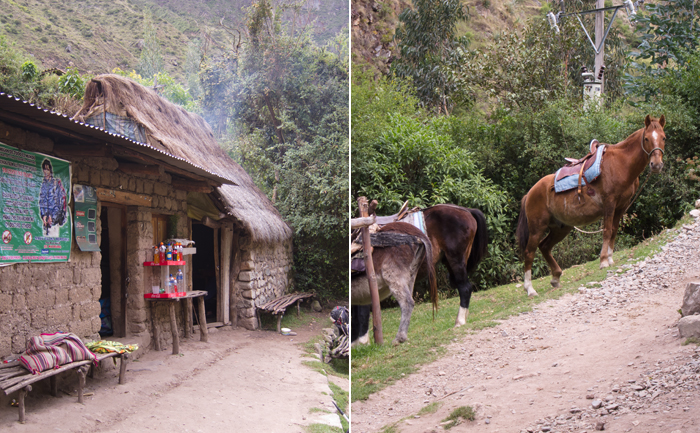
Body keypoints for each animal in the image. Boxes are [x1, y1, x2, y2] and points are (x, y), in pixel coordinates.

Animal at [516, 115, 664, 296]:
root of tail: (530, 193)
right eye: (647, 138)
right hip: (537, 228)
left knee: (544, 247)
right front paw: (603, 261)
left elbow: (614, 231)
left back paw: (556, 277)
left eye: (663, 137)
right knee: (530, 252)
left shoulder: (621, 207)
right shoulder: (609, 204)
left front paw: (610, 258)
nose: (656, 165)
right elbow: (607, 231)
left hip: (561, 228)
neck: (620, 164)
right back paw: (530, 289)